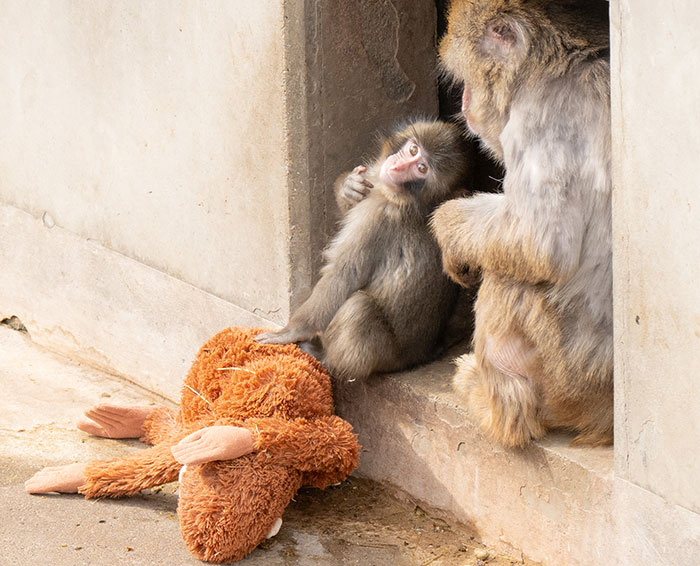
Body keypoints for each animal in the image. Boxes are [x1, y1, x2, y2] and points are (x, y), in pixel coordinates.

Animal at [256, 120, 472, 382]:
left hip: (386, 356)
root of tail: (420, 355)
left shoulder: (375, 218)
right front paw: (348, 187)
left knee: (359, 307)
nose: (397, 166)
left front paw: (292, 330)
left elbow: (342, 275)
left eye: (421, 169)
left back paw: (324, 358)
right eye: (413, 150)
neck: (406, 201)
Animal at [430, 0, 613, 448]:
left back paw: (498, 405)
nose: (465, 99)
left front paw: (446, 225)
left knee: (510, 279)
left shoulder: (538, 116)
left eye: (466, 78)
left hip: (566, 374)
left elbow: (537, 244)